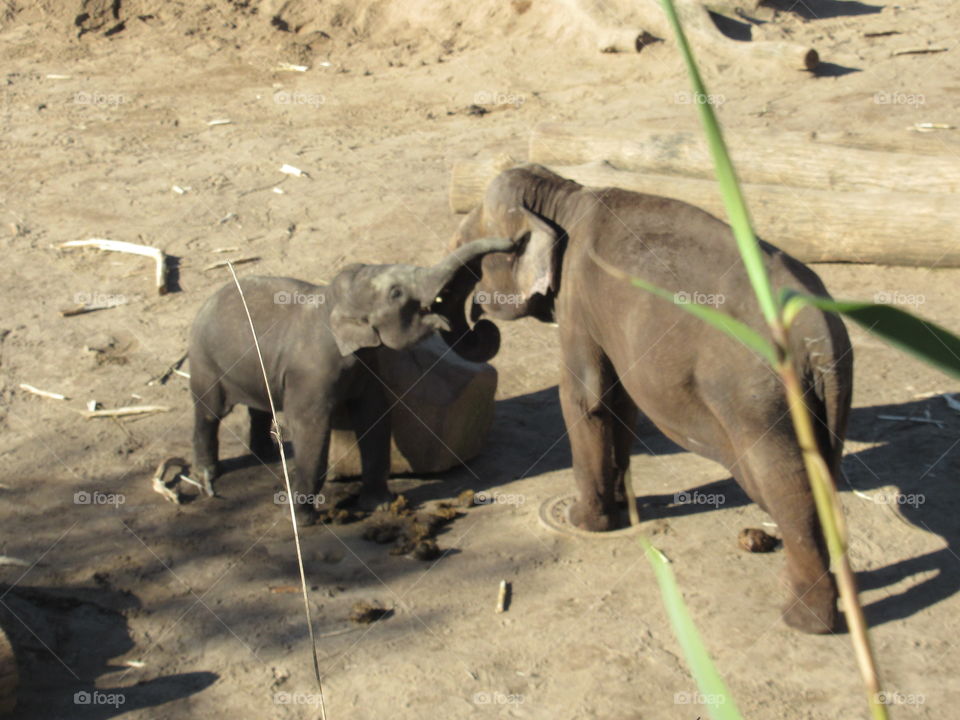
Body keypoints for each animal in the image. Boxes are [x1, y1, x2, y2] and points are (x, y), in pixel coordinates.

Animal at [188, 237, 513, 524]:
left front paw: (380, 506)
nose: (513, 244)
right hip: (204, 361)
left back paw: (266, 455)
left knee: (258, 408)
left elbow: (375, 417)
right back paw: (207, 476)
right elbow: (312, 430)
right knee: (209, 412)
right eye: (396, 293)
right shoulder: (311, 374)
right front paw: (301, 520)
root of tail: (208, 301)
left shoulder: (367, 367)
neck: (332, 301)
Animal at [450, 164, 853, 634]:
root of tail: (817, 335)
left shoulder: (577, 300)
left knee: (785, 482)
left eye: (468, 253)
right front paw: (622, 508)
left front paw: (583, 522)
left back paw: (803, 620)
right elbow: (621, 401)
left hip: (756, 398)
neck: (564, 197)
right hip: (830, 397)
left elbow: (585, 398)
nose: (477, 320)